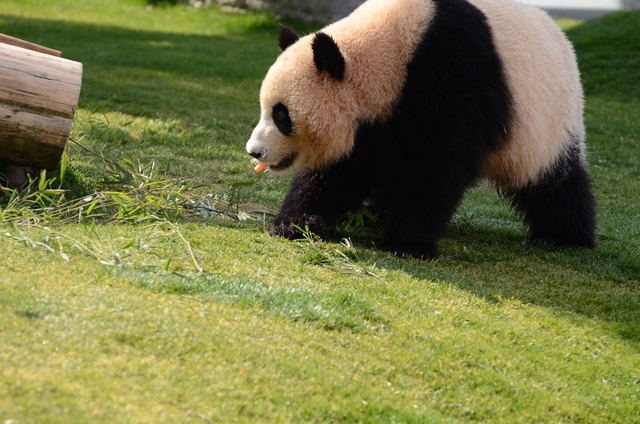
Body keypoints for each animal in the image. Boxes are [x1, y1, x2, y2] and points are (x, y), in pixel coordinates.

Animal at [244, 0, 596, 258]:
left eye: (281, 114)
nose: (254, 151)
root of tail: (562, 39)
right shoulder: (373, 120)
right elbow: (340, 170)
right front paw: (294, 224)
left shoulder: (449, 73)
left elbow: (433, 164)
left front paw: (407, 243)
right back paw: (379, 211)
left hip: (545, 121)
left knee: (552, 182)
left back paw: (563, 236)